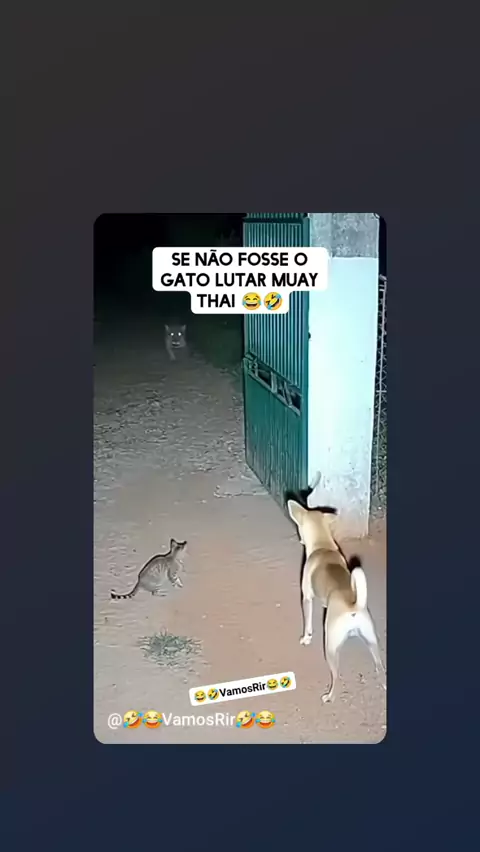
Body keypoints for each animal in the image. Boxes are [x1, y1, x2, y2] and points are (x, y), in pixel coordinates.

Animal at [287, 499, 385, 703]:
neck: (323, 545)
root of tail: (354, 606)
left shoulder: (306, 597)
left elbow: (307, 624)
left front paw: (306, 638)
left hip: (330, 647)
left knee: (336, 676)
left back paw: (329, 696)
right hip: (372, 642)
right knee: (380, 669)